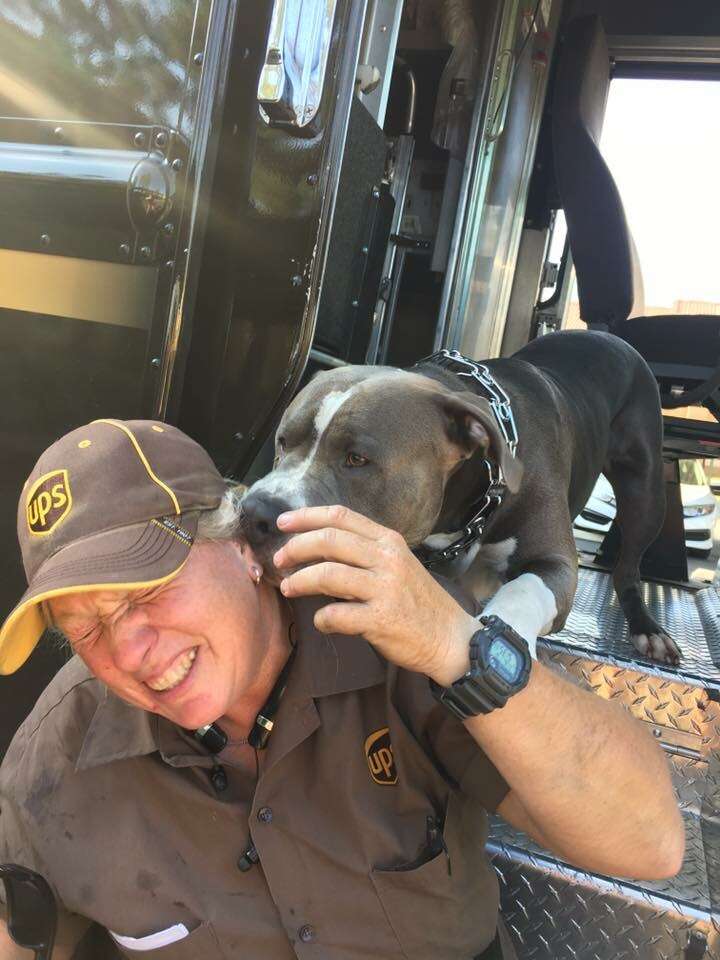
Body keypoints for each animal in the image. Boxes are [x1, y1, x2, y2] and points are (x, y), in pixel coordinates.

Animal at [242, 334, 680, 664]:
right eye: (282, 441)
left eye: (356, 459)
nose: (255, 514)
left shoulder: (556, 562)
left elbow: (524, 591)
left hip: (646, 490)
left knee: (628, 568)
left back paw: (648, 630)